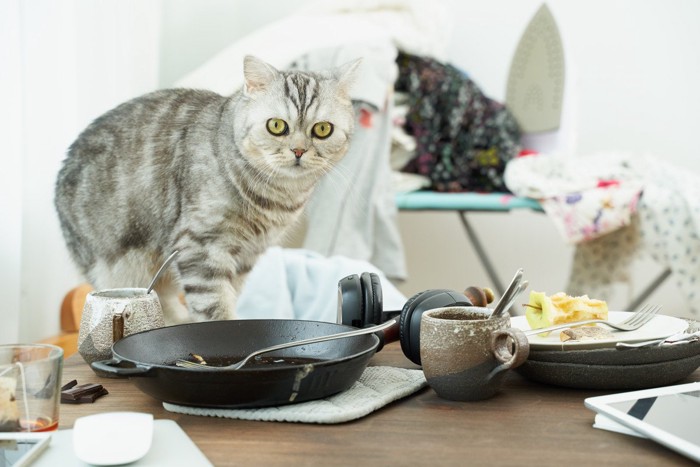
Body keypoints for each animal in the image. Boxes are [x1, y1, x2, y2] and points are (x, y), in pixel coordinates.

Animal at [54, 54, 358, 324]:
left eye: (322, 129)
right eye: (276, 126)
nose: (298, 150)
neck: (276, 196)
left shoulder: (246, 256)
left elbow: (228, 296)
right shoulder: (200, 246)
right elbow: (214, 304)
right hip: (120, 268)